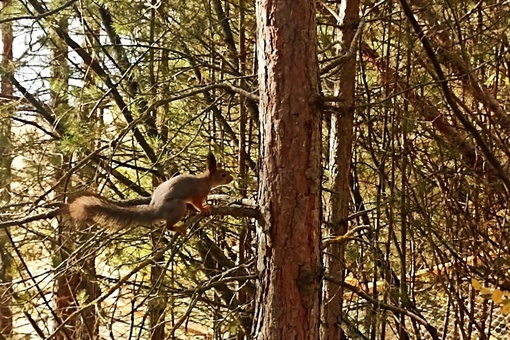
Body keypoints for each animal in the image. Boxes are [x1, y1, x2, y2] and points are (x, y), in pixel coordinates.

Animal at [67, 153, 233, 235]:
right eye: (223, 175)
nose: (231, 178)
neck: (206, 181)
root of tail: (156, 209)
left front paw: (207, 205)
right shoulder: (197, 193)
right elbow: (197, 202)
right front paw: (204, 208)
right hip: (177, 206)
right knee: (168, 226)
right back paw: (178, 228)